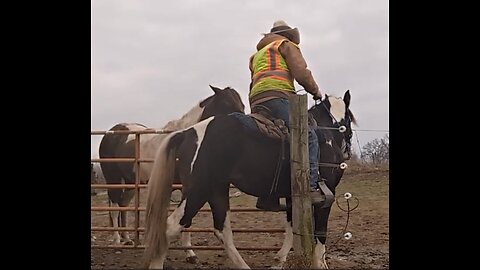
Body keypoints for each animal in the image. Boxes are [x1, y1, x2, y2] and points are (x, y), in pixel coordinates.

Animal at [144, 90, 354, 268]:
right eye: (349, 119)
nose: (347, 151)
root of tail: (187, 132)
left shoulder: (292, 197)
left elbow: (291, 225)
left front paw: (280, 259)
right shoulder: (326, 195)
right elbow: (320, 232)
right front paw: (320, 262)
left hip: (217, 190)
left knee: (222, 231)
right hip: (198, 190)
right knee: (171, 227)